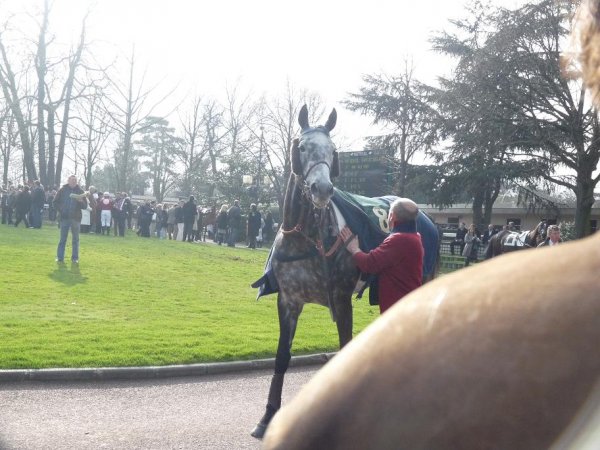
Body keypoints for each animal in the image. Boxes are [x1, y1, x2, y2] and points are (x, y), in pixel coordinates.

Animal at [251, 106, 438, 440]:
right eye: (302, 148)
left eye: (333, 151)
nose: (323, 189)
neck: (307, 239)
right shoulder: (288, 301)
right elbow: (282, 356)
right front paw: (268, 415)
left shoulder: (341, 299)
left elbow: (345, 348)